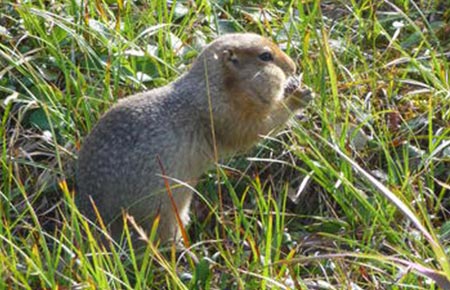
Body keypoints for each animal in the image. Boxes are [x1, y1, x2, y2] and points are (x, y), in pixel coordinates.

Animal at [75, 32, 312, 244]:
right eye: (265, 56)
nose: (293, 66)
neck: (214, 85)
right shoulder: (227, 113)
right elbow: (256, 129)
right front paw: (299, 96)